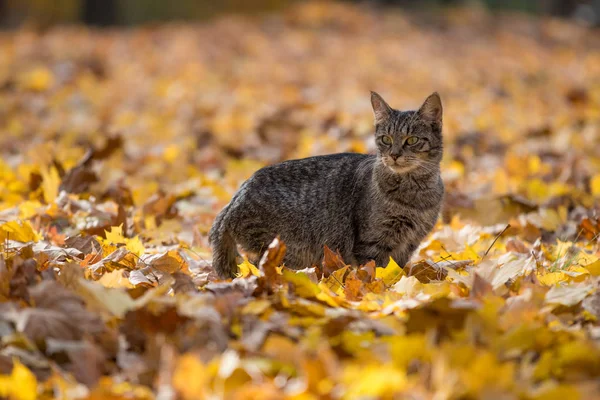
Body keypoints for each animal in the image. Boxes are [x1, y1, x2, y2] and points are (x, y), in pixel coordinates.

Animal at [209, 90, 442, 278]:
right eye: (386, 139)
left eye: (412, 140)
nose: (394, 155)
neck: (415, 195)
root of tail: (234, 200)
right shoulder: (373, 243)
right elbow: (377, 272)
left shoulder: (409, 244)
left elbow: (397, 271)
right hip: (284, 248)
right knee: (257, 269)